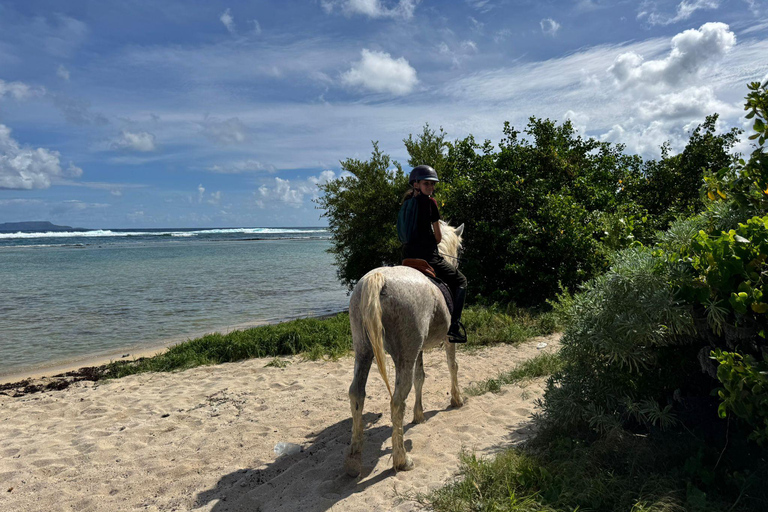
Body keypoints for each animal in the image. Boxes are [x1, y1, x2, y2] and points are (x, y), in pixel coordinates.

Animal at [344, 220, 465, 477]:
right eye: (460, 249)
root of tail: (379, 277)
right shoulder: (447, 340)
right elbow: (452, 366)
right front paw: (456, 399)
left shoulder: (418, 349)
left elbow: (421, 377)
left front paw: (419, 415)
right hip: (402, 357)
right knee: (397, 401)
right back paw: (402, 460)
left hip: (364, 350)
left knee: (357, 393)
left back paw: (354, 459)